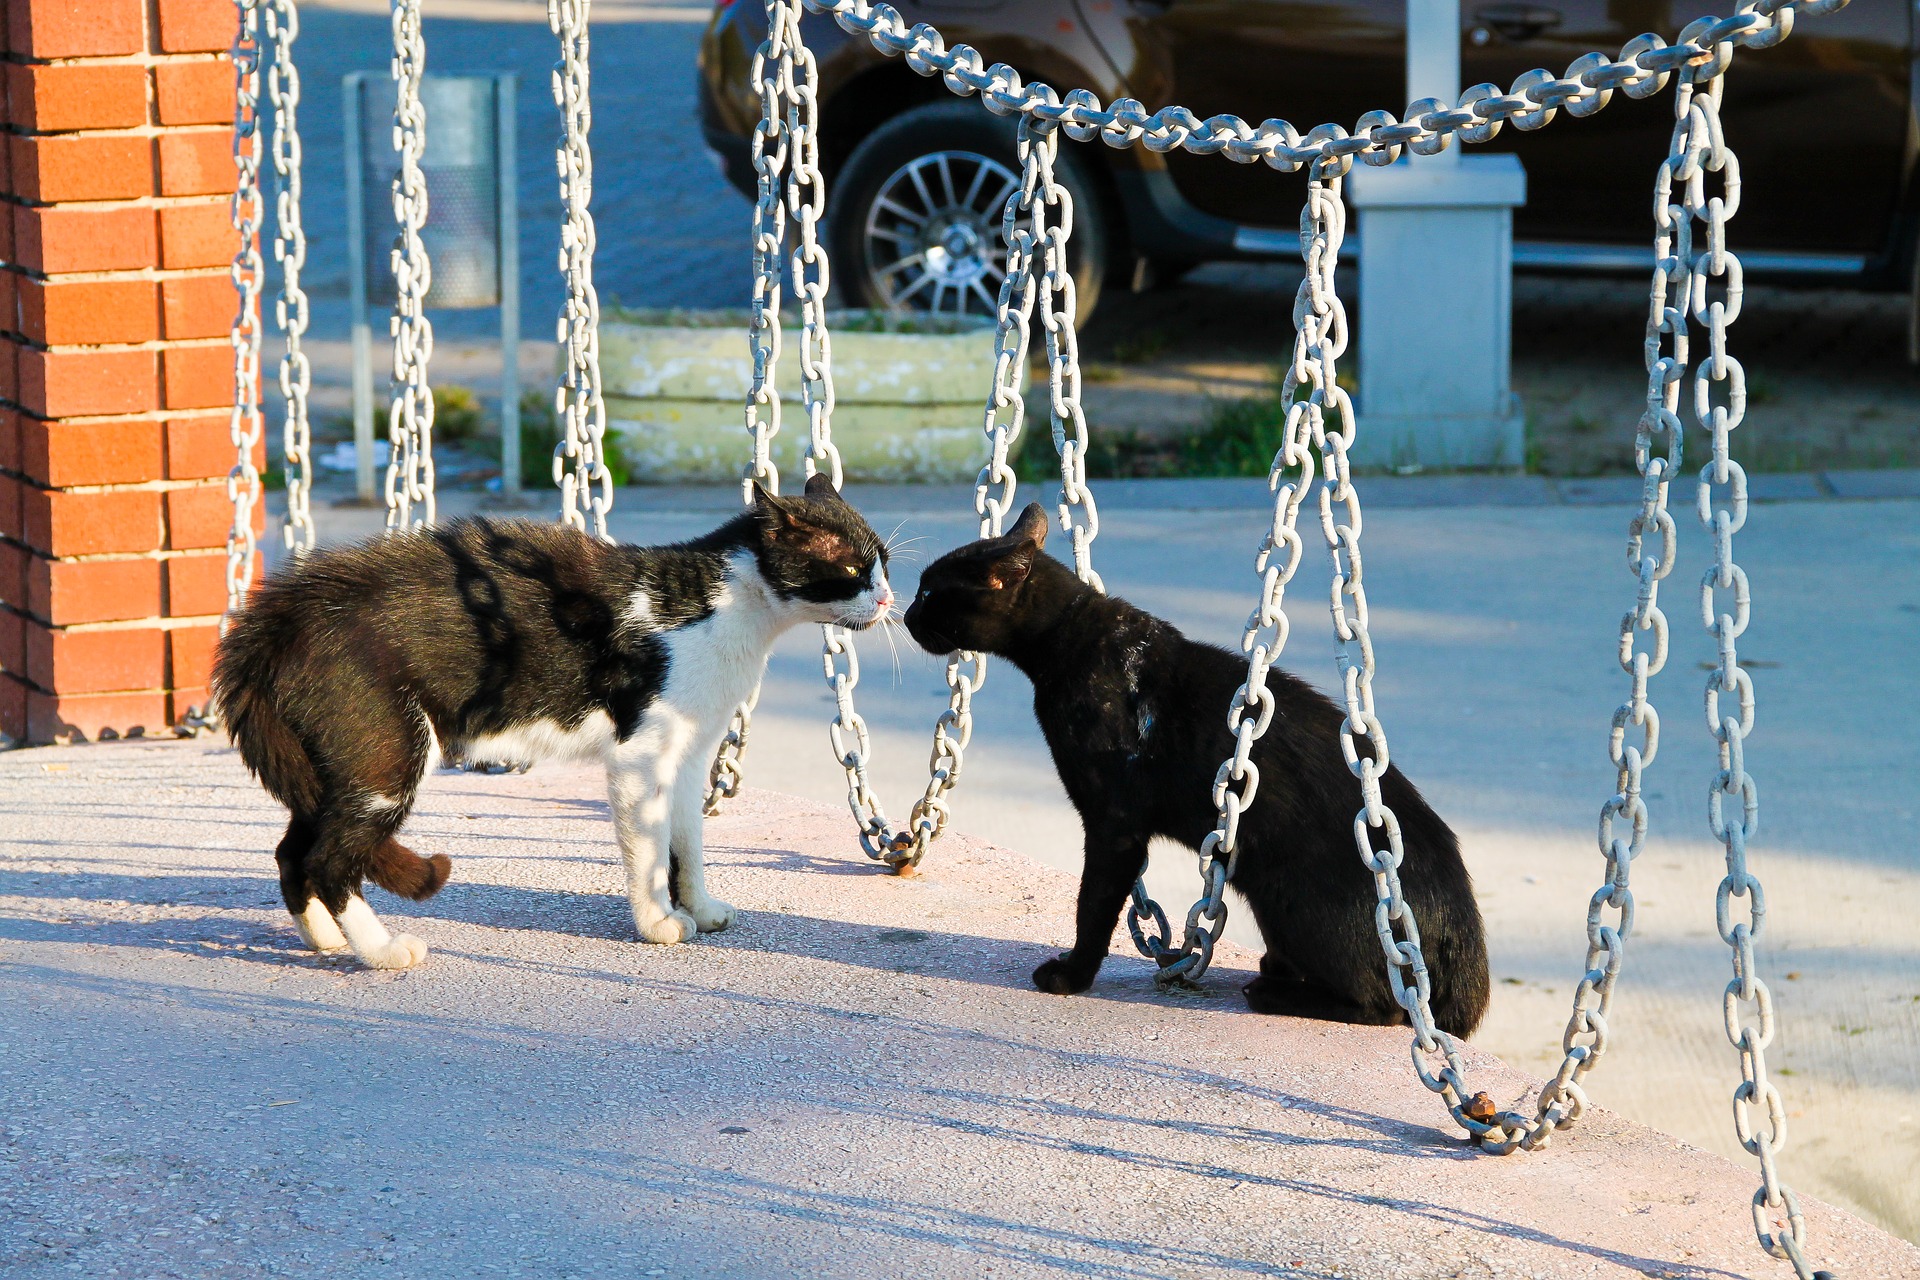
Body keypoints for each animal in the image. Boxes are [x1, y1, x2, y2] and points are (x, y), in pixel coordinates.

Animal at [212, 477, 890, 971]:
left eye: (883, 562)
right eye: (851, 571)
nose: (887, 599)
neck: (726, 611)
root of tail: (272, 621)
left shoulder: (691, 751)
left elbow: (688, 841)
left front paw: (700, 907)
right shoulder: (641, 755)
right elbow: (651, 850)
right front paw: (659, 923)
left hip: (333, 767)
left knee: (294, 851)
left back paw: (326, 939)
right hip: (386, 758)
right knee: (331, 859)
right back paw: (380, 951)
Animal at [906, 506, 1489, 1036]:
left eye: (931, 593)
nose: (907, 614)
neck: (1073, 636)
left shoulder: (1115, 823)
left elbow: (1093, 905)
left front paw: (1072, 975)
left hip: (1287, 895)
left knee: (1387, 1007)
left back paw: (1273, 993)